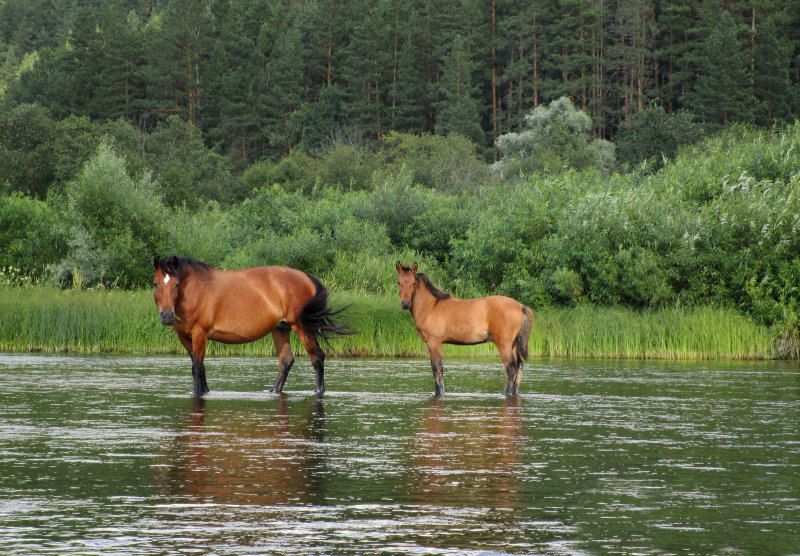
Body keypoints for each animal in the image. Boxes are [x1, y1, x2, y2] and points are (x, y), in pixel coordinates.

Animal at [153, 256, 350, 396]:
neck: (195, 290)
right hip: (281, 329)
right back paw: (273, 391)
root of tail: (306, 277)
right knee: (286, 361)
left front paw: (196, 394)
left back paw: (319, 392)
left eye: (176, 284)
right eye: (155, 284)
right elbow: (200, 368)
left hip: (300, 326)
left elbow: (196, 367)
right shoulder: (185, 337)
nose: (167, 316)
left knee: (317, 357)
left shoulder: (199, 334)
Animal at [396, 262, 532, 396]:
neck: (430, 307)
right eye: (398, 282)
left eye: (413, 283)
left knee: (511, 367)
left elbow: (437, 369)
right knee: (519, 366)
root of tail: (520, 306)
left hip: (504, 344)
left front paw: (441, 393)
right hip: (513, 344)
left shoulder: (434, 342)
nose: (405, 303)